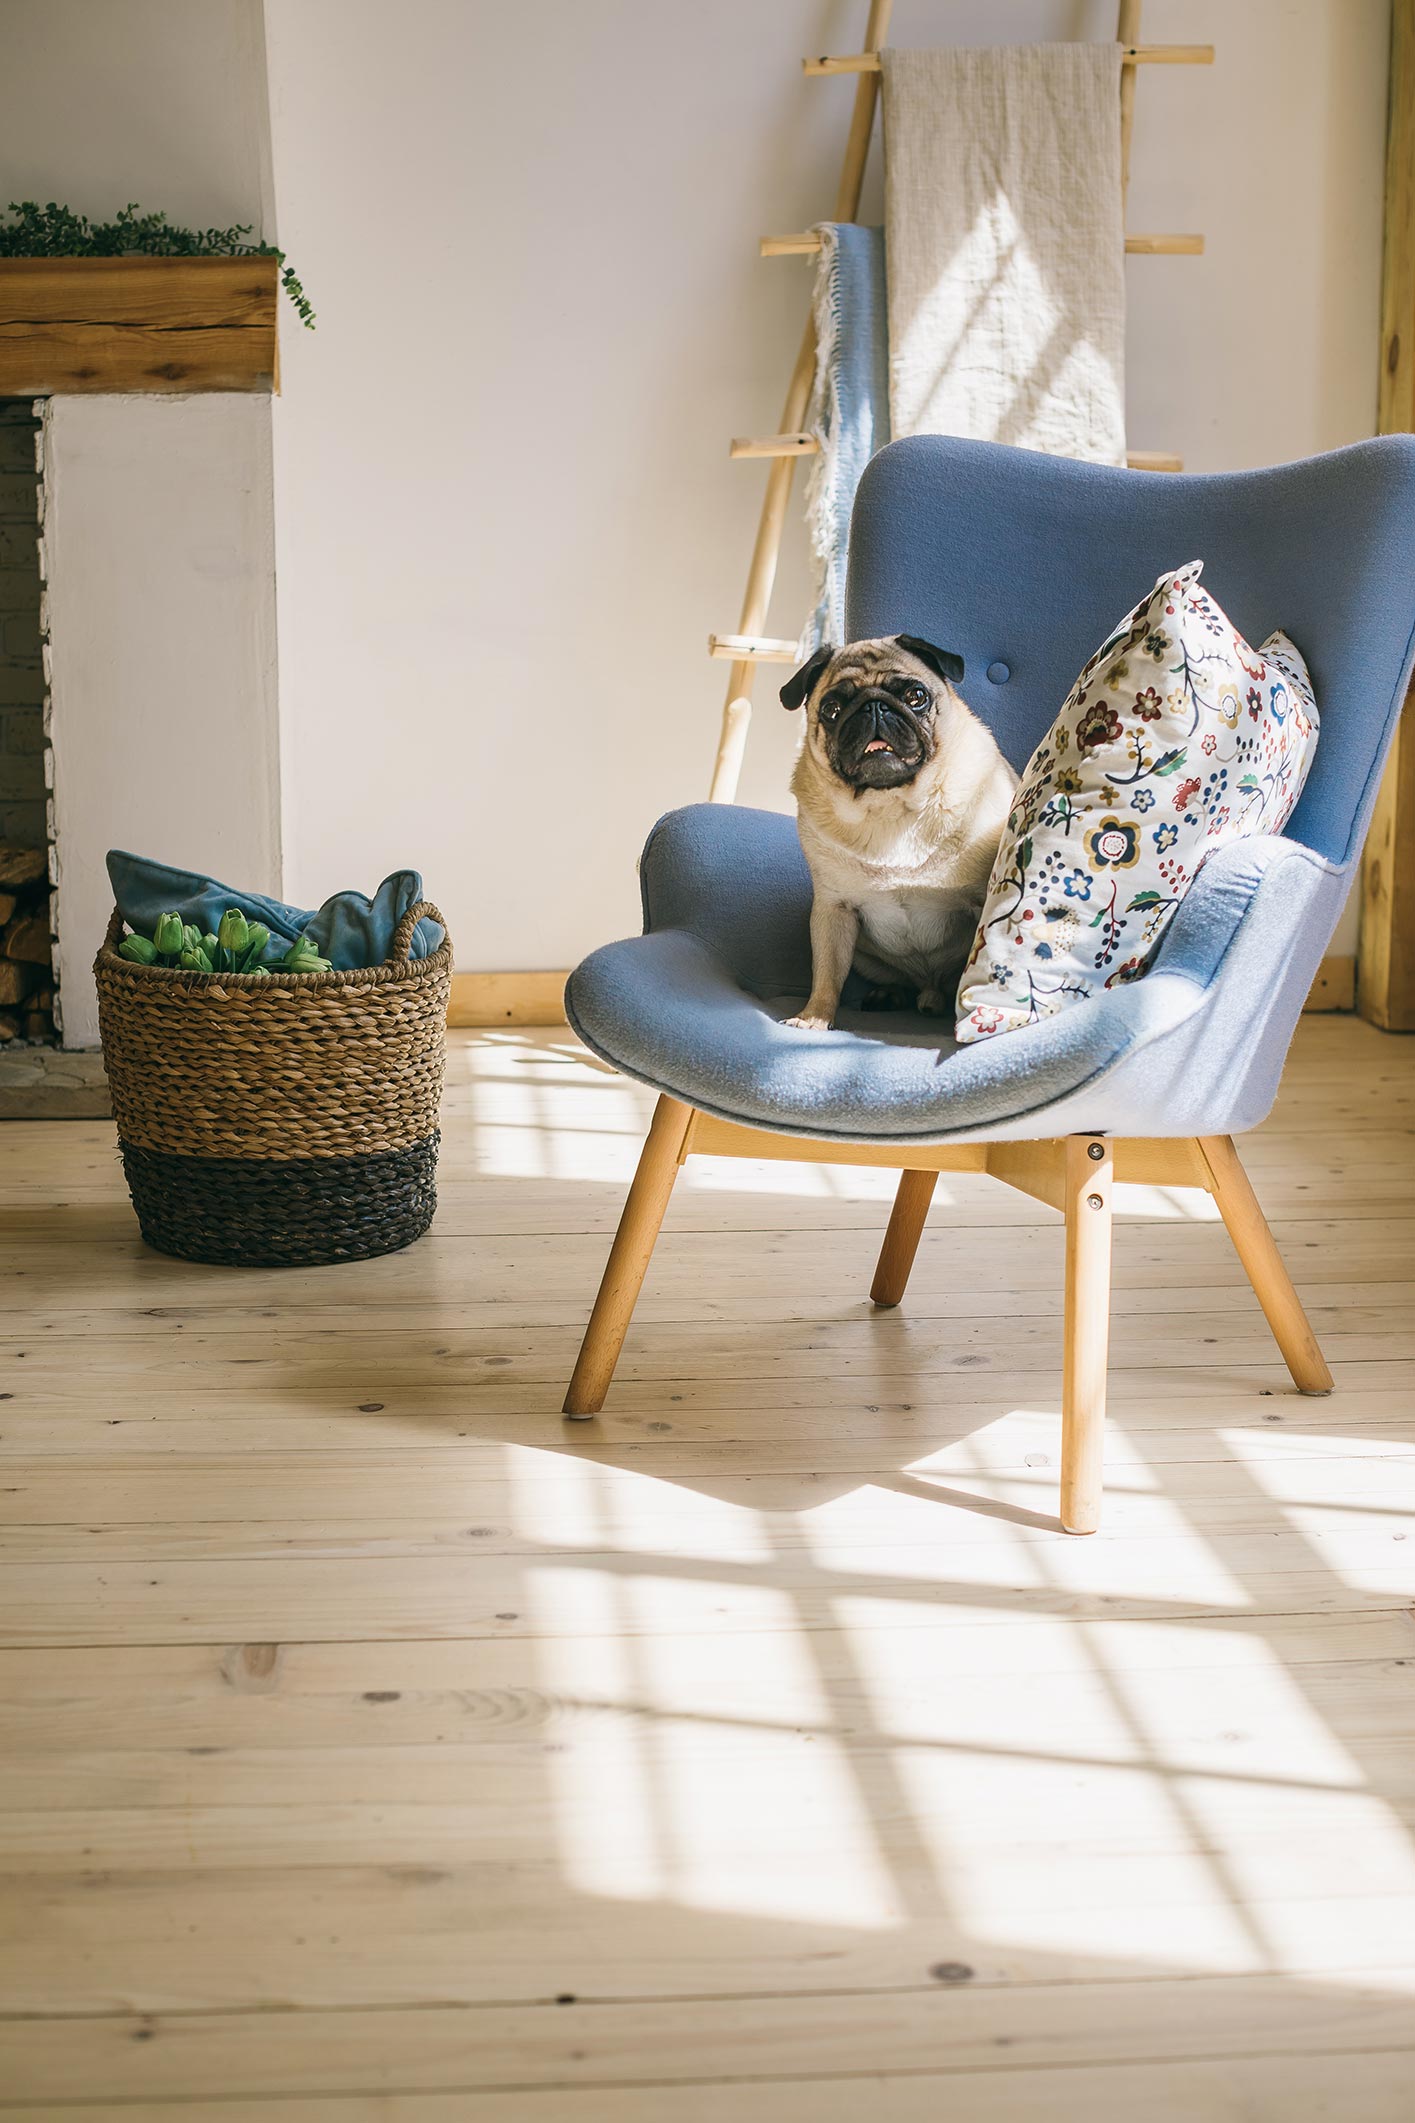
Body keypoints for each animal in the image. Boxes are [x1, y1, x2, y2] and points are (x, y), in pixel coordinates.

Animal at [776, 628, 1018, 1027]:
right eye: (831, 710)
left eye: (915, 697)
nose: (874, 707)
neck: (888, 807)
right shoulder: (833, 909)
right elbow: (826, 972)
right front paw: (813, 1018)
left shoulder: (979, 903)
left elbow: (980, 959)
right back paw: (890, 995)